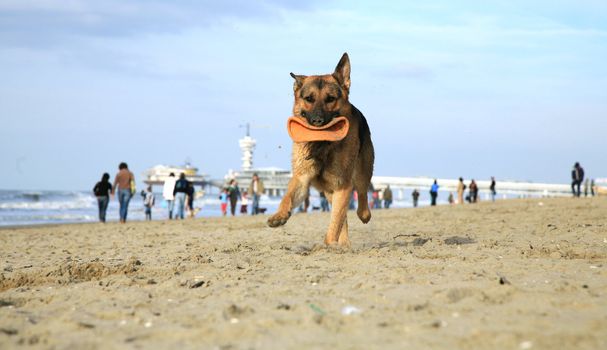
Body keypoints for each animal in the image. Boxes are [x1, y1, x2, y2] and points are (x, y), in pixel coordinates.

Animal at [268, 53, 376, 247]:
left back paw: (362, 216)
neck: (322, 146)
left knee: (361, 196)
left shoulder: (343, 185)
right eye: (309, 99)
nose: (317, 121)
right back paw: (343, 244)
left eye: (330, 99)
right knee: (341, 217)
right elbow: (287, 196)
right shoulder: (302, 179)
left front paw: (329, 244)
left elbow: (335, 223)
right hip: (331, 192)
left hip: (362, 171)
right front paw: (279, 215)